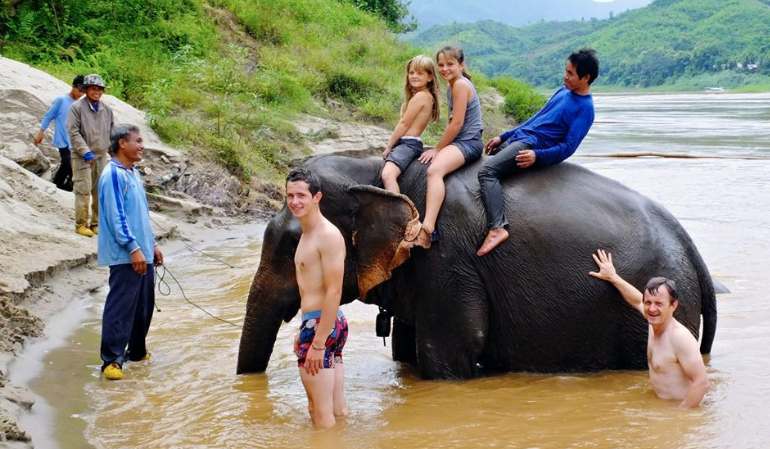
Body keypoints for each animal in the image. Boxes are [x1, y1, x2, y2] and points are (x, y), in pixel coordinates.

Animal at [237, 154, 717, 379]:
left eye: (293, 244)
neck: (377, 166)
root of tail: (692, 249)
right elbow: (407, 350)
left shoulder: (448, 258)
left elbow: (446, 353)